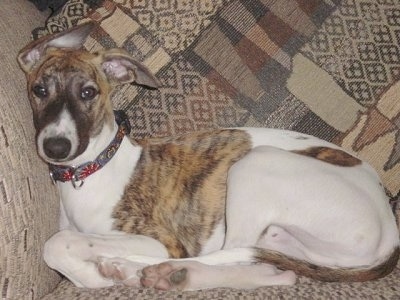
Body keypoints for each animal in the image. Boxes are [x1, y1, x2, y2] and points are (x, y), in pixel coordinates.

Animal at [17, 22, 398, 290]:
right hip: (285, 240)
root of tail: (390, 233)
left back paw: (137, 269)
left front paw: (97, 275)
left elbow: (60, 243)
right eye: (39, 89)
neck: (90, 170)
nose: (55, 147)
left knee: (229, 255)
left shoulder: (163, 241)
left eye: (88, 92)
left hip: (256, 164)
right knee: (264, 266)